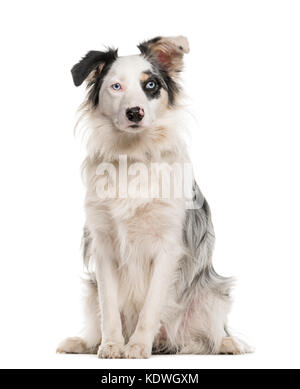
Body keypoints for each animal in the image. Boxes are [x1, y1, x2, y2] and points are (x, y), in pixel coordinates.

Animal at [56, 35, 248, 358]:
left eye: (150, 85)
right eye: (115, 86)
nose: (135, 112)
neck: (133, 156)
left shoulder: (167, 247)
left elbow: (150, 308)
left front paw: (136, 346)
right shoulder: (104, 245)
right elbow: (109, 308)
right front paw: (112, 345)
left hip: (212, 293)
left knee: (210, 330)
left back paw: (227, 344)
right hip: (90, 293)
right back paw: (81, 343)